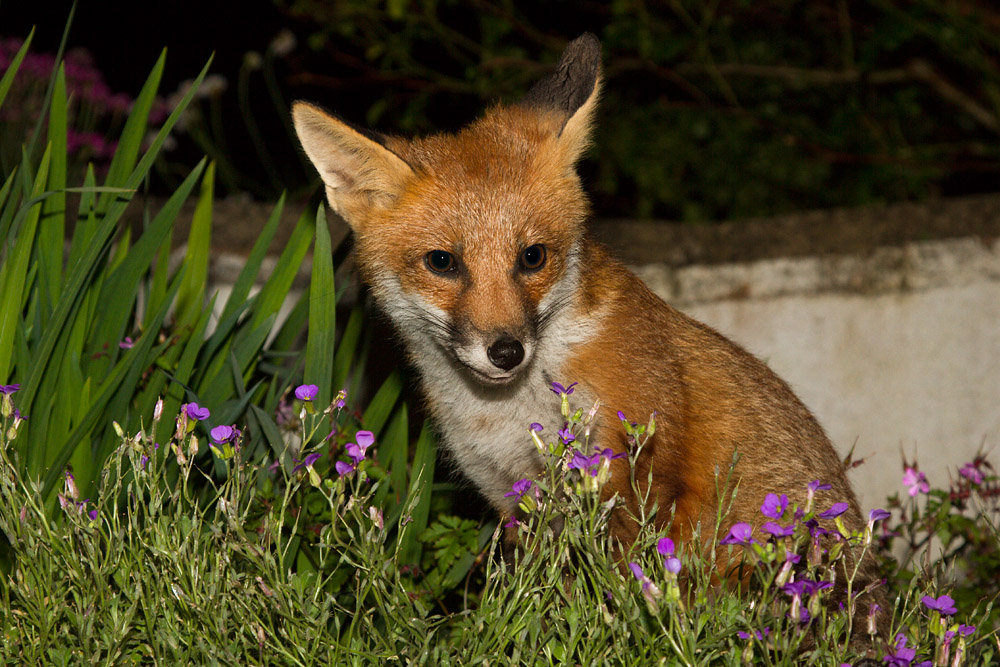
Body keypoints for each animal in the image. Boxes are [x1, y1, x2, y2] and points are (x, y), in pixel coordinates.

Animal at [292, 33, 883, 624]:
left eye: (532, 257)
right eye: (442, 263)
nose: (506, 351)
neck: (508, 413)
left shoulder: (638, 474)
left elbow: (625, 591)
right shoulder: (513, 498)